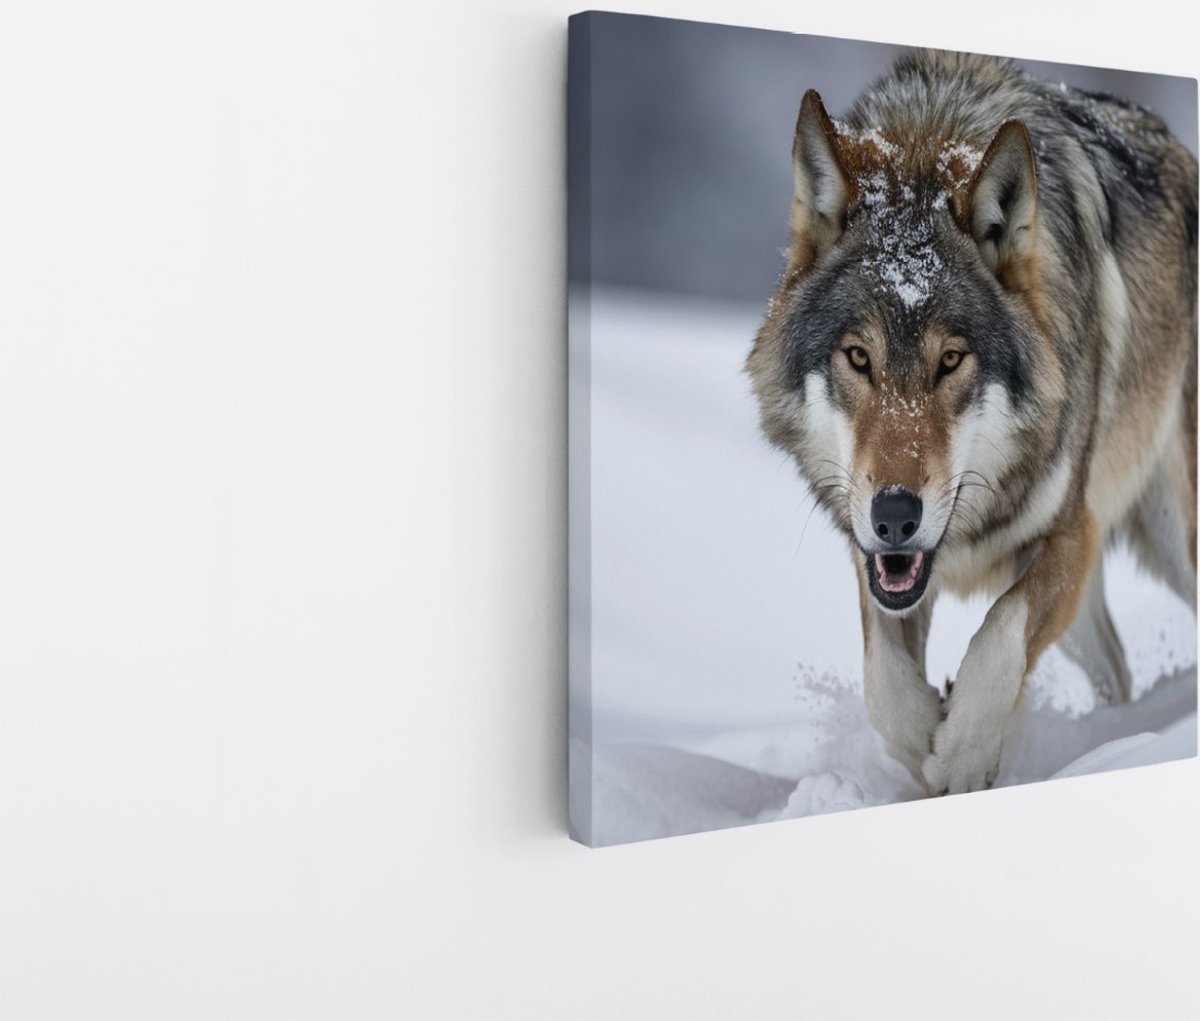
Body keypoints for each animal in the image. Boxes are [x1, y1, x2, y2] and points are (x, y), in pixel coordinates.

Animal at [746, 51, 1197, 795]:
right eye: (859, 357)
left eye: (951, 360)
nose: (895, 514)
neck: (933, 131)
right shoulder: (877, 563)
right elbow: (883, 682)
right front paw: (926, 740)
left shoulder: (1070, 531)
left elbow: (999, 634)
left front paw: (961, 756)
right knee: (1116, 667)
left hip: (1174, 539)